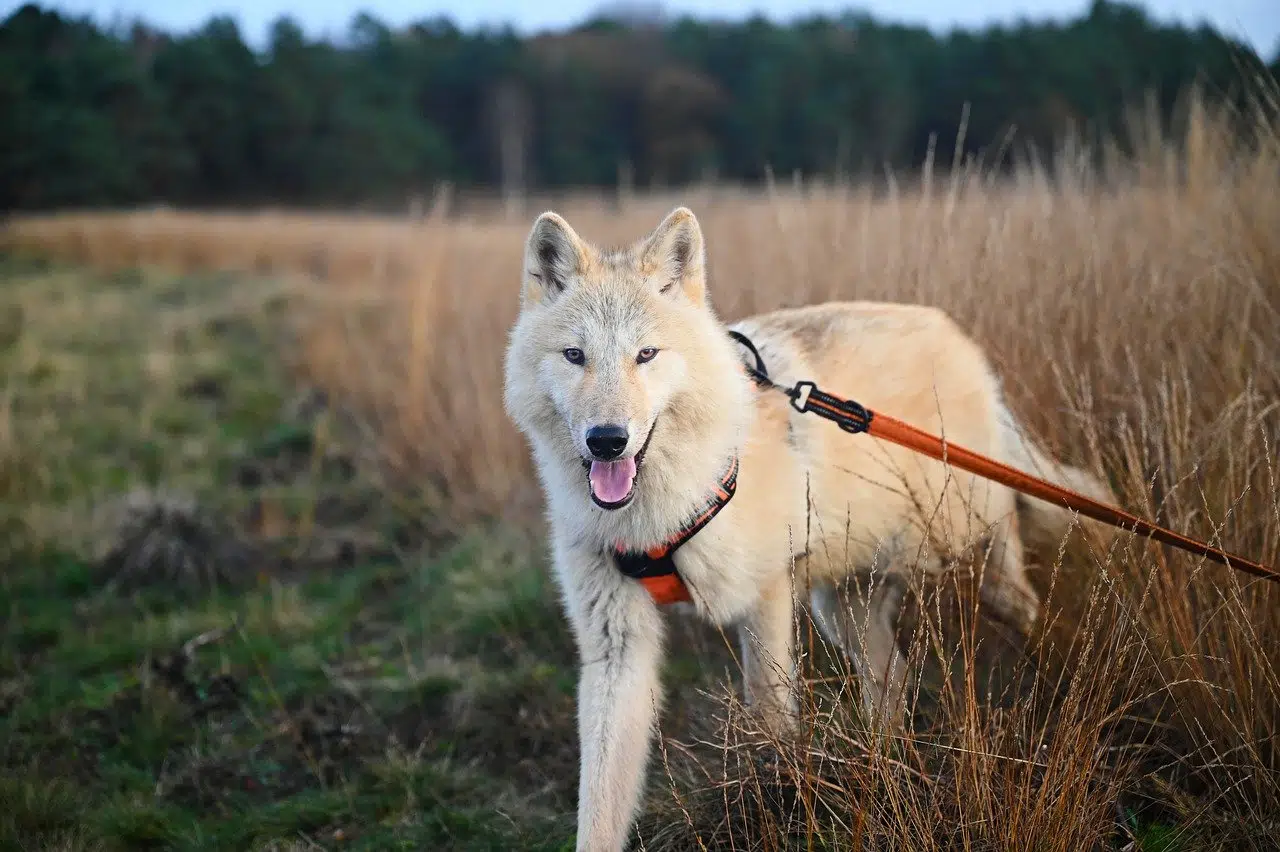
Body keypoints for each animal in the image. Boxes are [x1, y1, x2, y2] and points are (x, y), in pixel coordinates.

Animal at [496, 202, 1111, 844]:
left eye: (646, 355)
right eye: (575, 356)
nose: (608, 441)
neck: (657, 518)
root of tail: (958, 338)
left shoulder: (764, 601)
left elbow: (768, 725)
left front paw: (776, 808)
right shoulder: (616, 648)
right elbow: (600, 804)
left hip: (966, 548)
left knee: (1021, 596)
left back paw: (1060, 670)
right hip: (844, 608)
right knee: (894, 679)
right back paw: (884, 771)